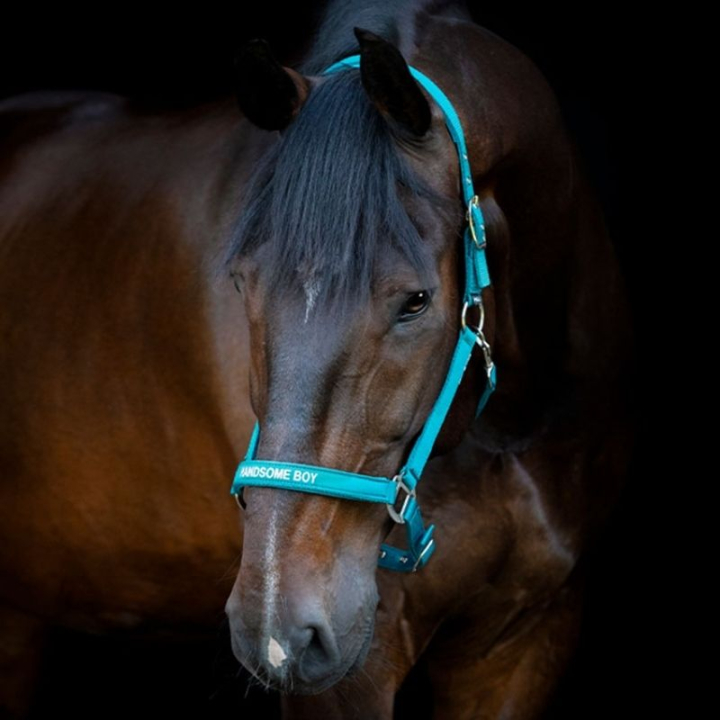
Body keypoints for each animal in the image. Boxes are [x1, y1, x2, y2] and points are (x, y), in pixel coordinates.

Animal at [0, 1, 637, 717]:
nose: (280, 630)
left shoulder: (528, 635)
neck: (507, 425)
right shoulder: (354, 672)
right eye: (241, 282)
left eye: (416, 301)